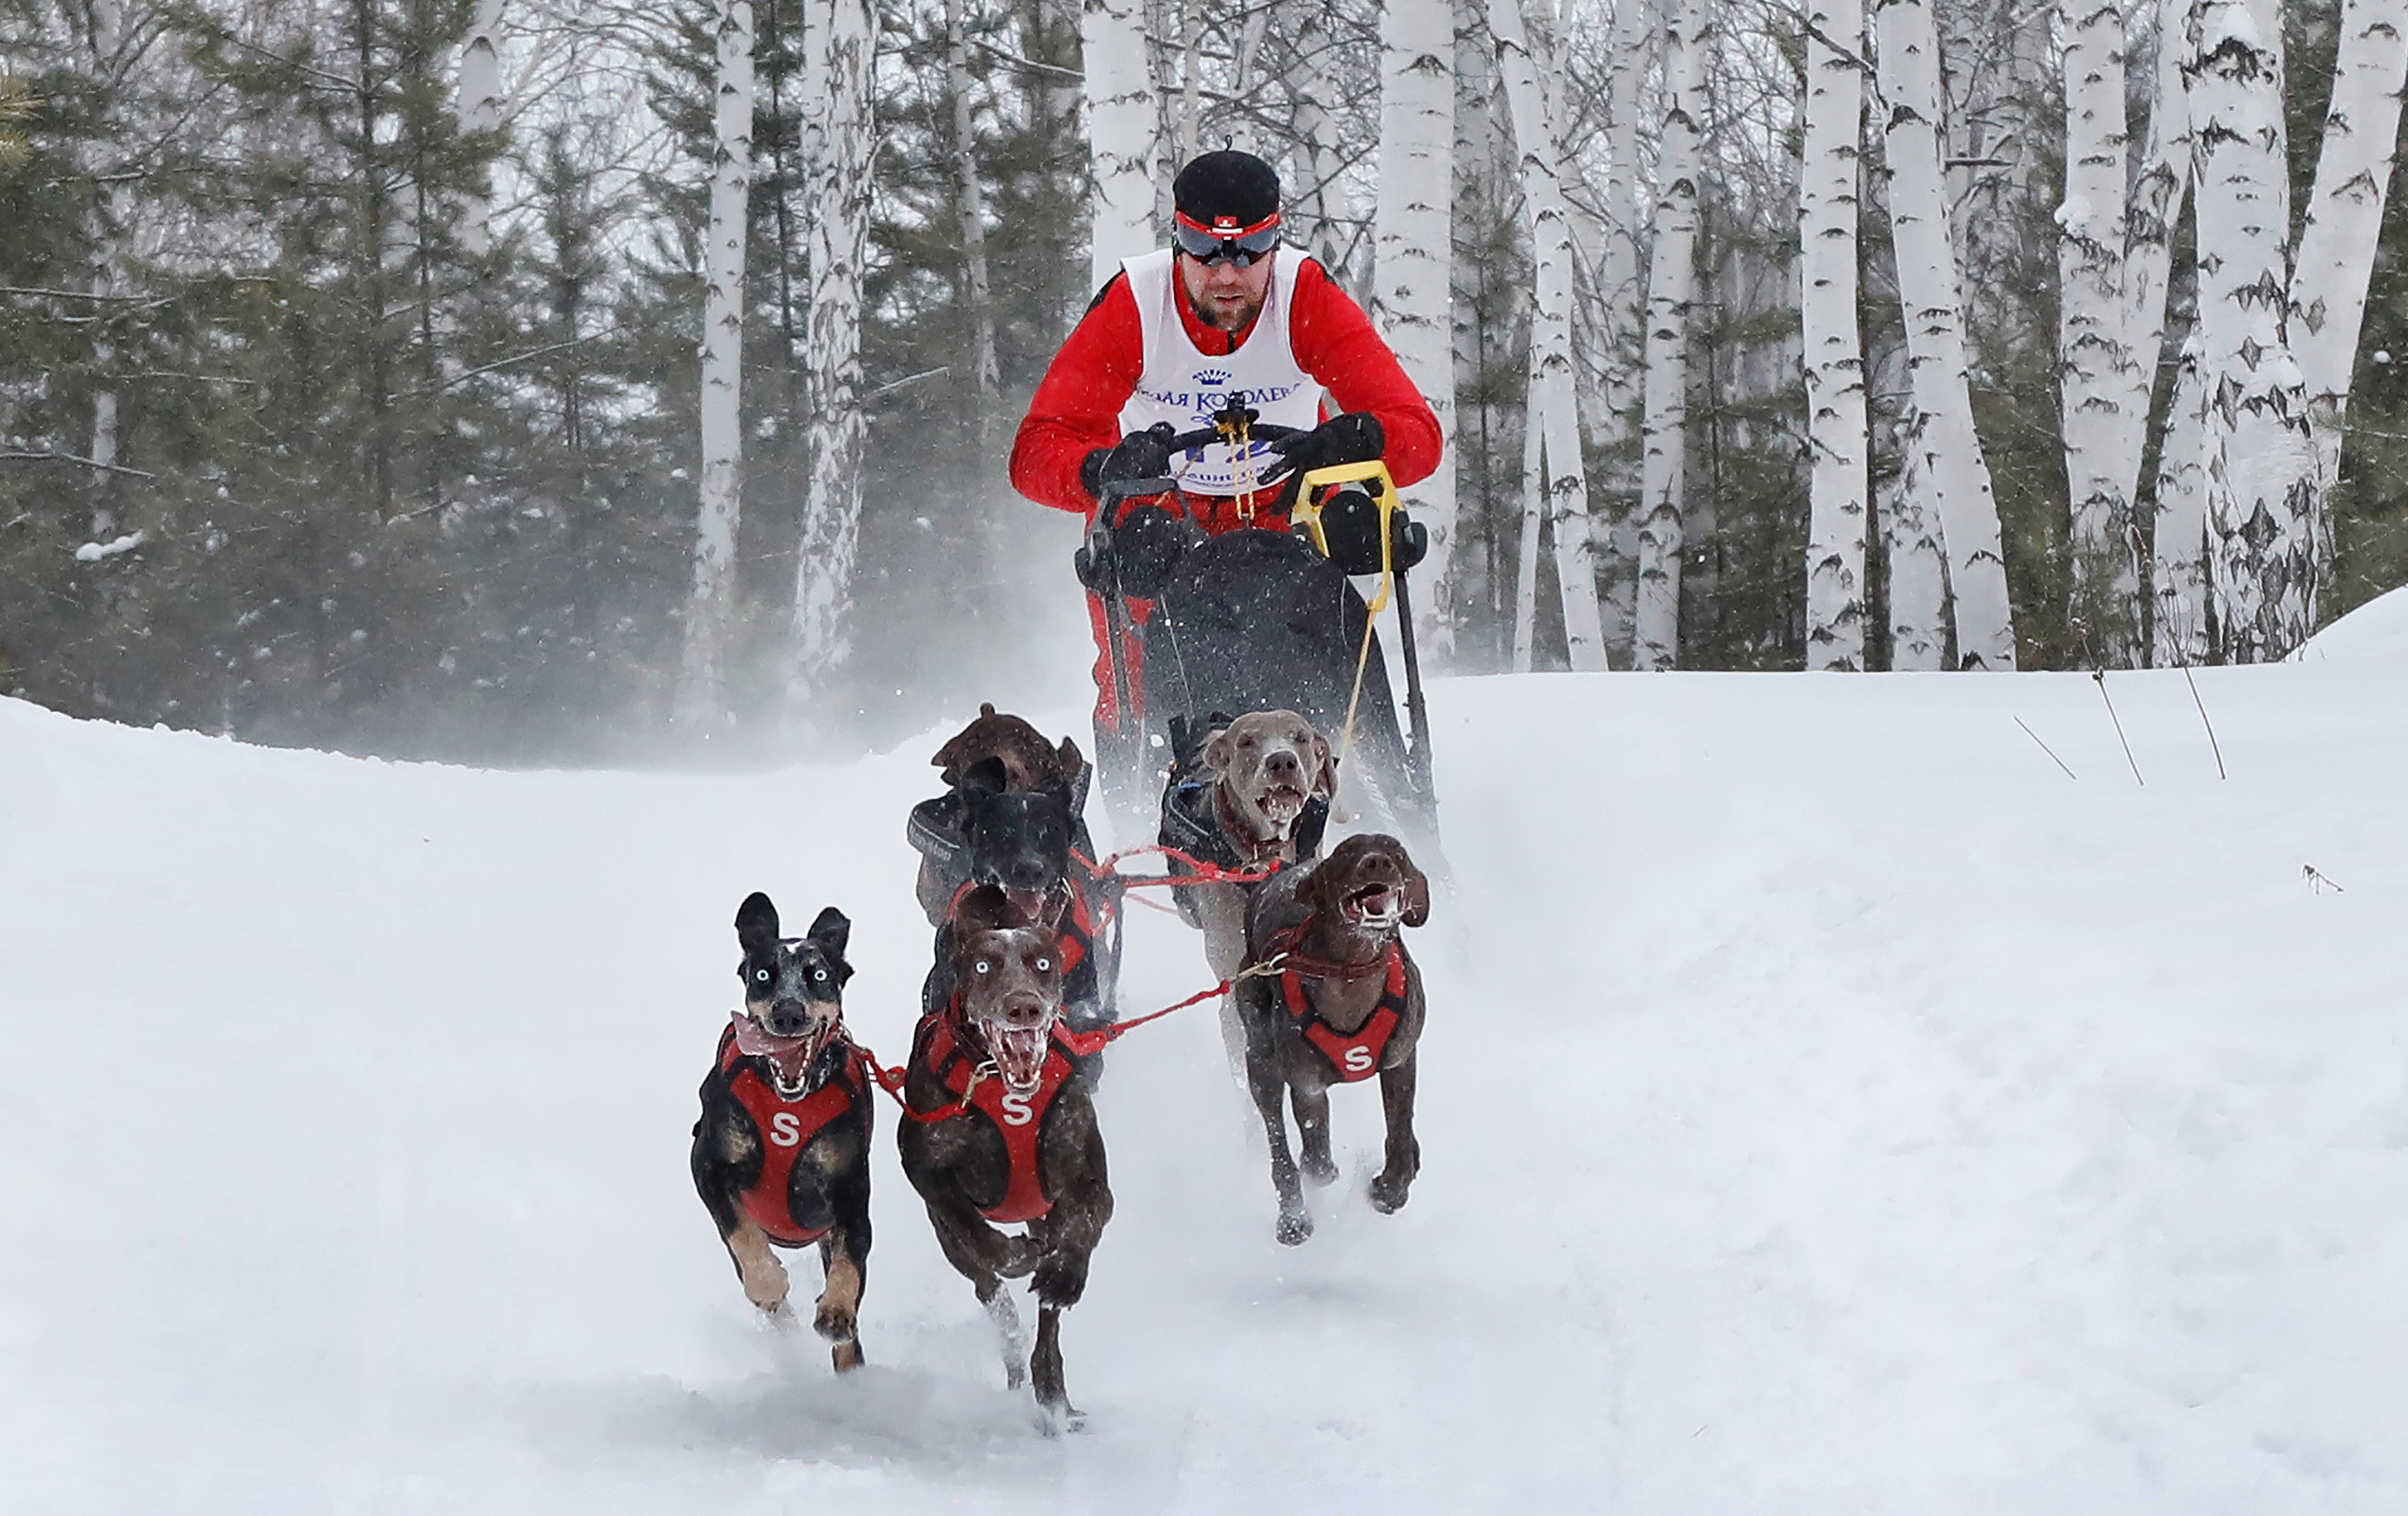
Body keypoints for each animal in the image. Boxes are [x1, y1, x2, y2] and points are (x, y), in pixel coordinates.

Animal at [693, 894, 881, 1376]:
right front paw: (768, 1283)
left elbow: (851, 1260)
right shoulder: (707, 1164)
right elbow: (740, 1230)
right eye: (763, 974)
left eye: (819, 975)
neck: (789, 1103)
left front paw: (836, 1311)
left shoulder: (851, 1192)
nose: (789, 1011)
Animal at [901, 885, 1112, 1434]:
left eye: (1042, 963)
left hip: (1045, 1215)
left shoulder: (1089, 1181)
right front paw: (1015, 1255)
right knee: (989, 1291)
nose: (1024, 1008)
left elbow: (1086, 1220)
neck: (1001, 1082)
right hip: (953, 1248)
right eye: (982, 966)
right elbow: (976, 1232)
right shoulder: (926, 1173)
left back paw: (1054, 1394)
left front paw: (1065, 1275)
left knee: (1047, 1327)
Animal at [1242, 837, 1425, 1251]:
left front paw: (1393, 1187)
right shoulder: (1307, 1086)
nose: (1377, 862)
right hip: (1260, 1060)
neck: (1350, 974)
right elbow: (1316, 1156)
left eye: (1398, 852)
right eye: (1347, 853)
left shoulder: (1400, 1060)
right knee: (1281, 1147)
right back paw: (1293, 1217)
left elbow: (1400, 1130)